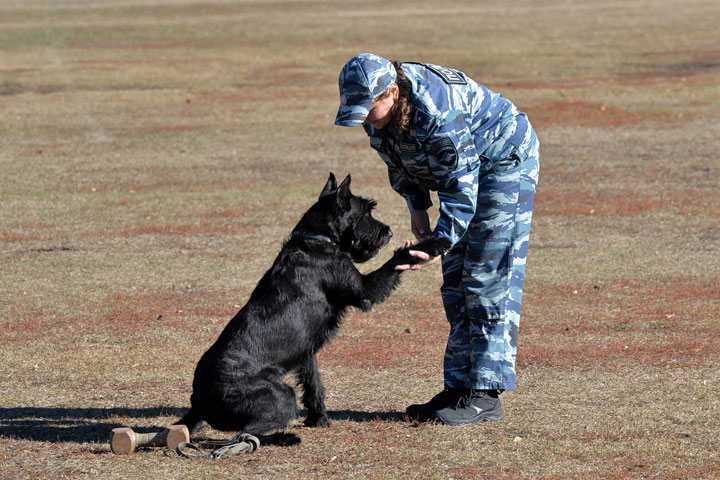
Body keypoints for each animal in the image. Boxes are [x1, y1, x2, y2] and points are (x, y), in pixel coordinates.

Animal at [177, 173, 448, 442]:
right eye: (366, 212)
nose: (389, 231)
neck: (315, 238)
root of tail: (199, 401)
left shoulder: (307, 352)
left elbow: (313, 383)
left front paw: (319, 419)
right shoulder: (365, 290)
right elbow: (397, 259)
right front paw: (434, 243)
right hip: (280, 396)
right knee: (244, 435)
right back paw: (285, 438)